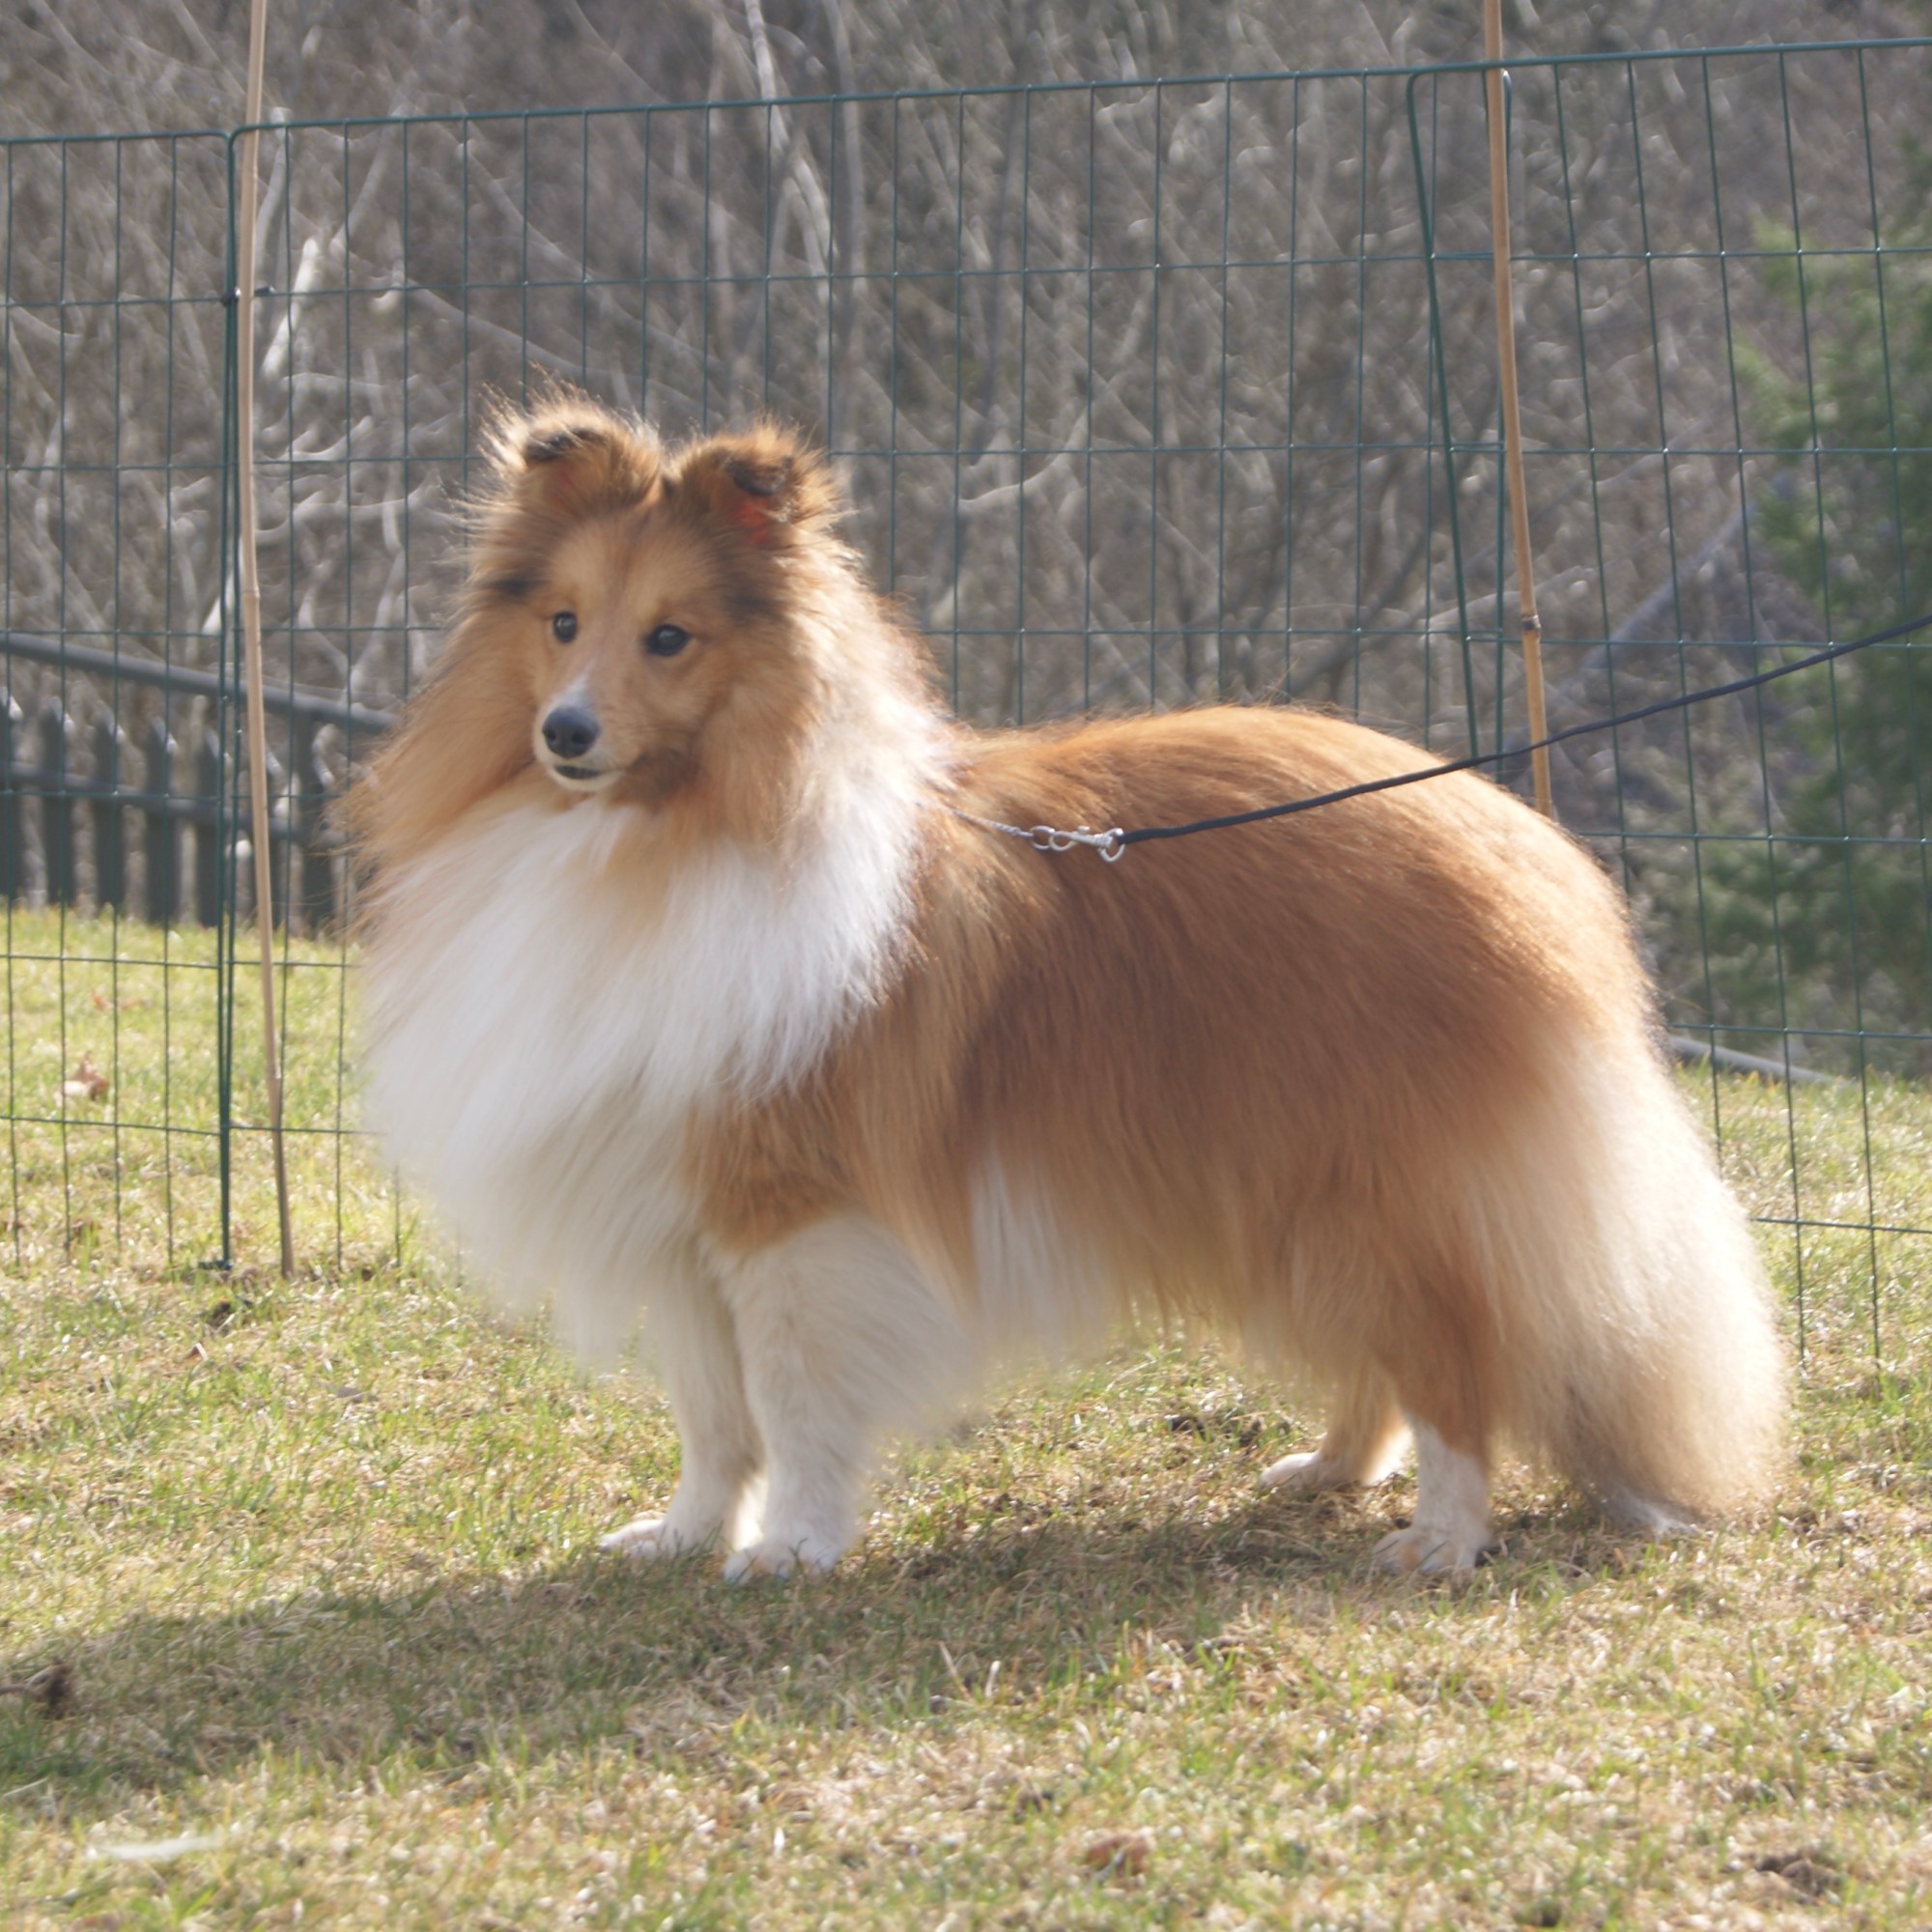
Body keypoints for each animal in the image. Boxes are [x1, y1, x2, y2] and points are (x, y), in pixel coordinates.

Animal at [352, 398, 1784, 1578]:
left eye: (670, 638)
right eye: (561, 624)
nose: (566, 733)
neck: (667, 831)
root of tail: (1529, 850)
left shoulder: (793, 1210)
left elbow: (799, 1402)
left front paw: (794, 1549)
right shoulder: (682, 1216)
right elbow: (717, 1419)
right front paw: (685, 1535)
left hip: (1384, 1188)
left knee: (1455, 1368)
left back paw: (1438, 1539)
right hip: (1291, 1190)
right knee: (1383, 1357)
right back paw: (1325, 1470)